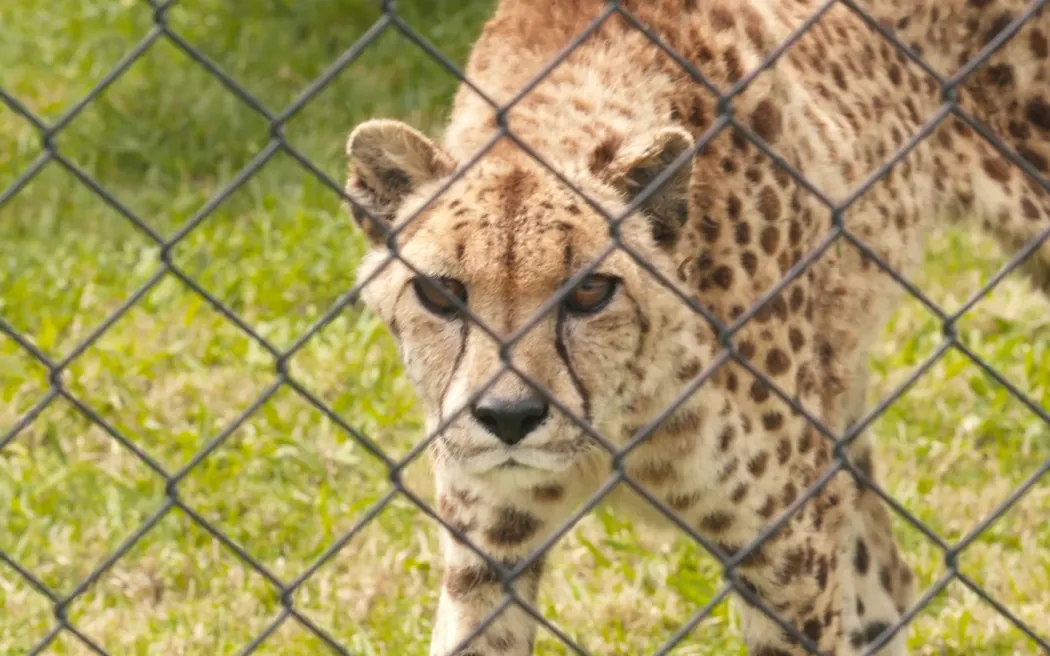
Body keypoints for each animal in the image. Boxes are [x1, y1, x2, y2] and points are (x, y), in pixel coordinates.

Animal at [340, 0, 1050, 653]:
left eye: (590, 290)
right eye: (440, 293)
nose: (510, 417)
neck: (622, 417)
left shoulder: (790, 555)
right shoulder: (488, 560)